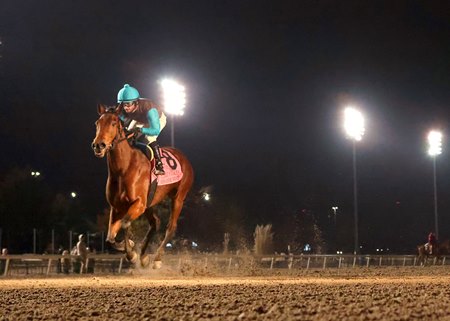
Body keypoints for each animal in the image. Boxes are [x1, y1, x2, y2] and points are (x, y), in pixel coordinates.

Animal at [92, 104, 194, 266]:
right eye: (97, 123)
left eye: (113, 123)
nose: (98, 145)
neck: (123, 168)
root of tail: (184, 158)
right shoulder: (116, 207)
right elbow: (109, 238)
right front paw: (129, 246)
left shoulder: (138, 204)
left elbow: (125, 224)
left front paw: (131, 253)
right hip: (149, 203)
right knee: (155, 223)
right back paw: (144, 256)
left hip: (178, 198)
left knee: (171, 227)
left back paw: (157, 259)